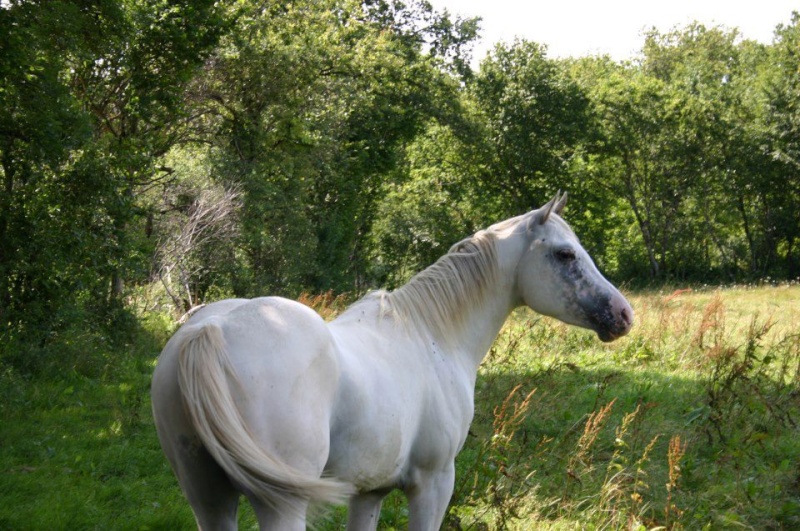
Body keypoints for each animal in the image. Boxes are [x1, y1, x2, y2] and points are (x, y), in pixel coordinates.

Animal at [153, 193, 636, 528]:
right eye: (565, 254)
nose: (623, 314)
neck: (432, 335)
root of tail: (209, 331)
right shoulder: (434, 483)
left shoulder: (370, 492)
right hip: (281, 506)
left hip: (209, 499)